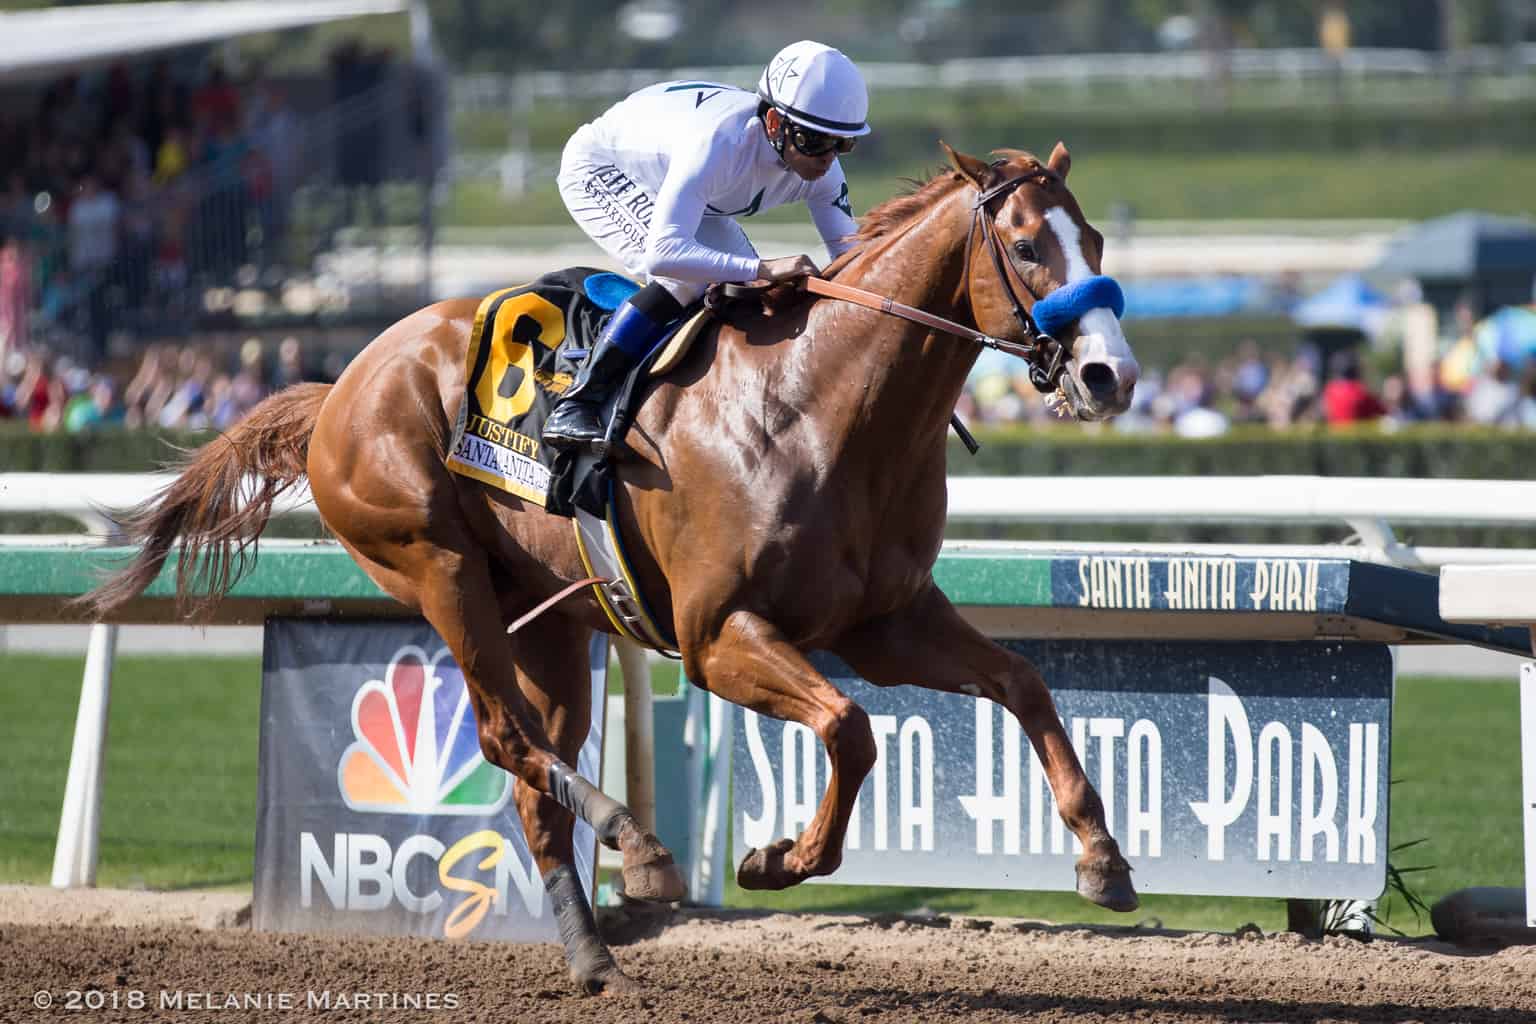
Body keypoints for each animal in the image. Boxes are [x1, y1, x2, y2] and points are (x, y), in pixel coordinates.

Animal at [84, 144, 1142, 994]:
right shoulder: (717, 637)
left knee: (528, 772)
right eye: (1028, 244)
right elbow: (849, 729)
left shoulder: (887, 622)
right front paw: (776, 859)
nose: (1110, 377)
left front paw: (1102, 858)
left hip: (551, 620)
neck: (820, 406)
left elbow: (1020, 681)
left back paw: (594, 955)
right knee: (504, 736)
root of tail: (339, 382)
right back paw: (636, 841)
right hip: (435, 567)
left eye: (1093, 236)